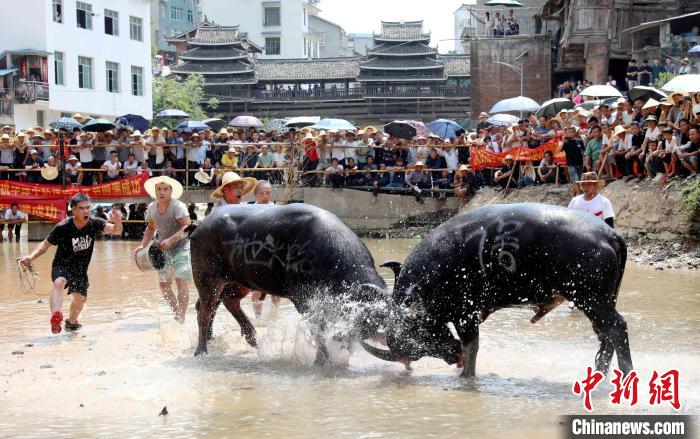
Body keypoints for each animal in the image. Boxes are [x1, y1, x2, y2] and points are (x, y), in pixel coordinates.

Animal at [189, 205, 388, 362]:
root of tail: (200, 226)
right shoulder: (304, 301)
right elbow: (318, 328)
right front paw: (322, 359)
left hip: (239, 282)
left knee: (229, 302)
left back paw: (254, 340)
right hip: (208, 280)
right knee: (205, 310)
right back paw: (201, 350)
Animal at [364, 203, 632, 378]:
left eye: (418, 340)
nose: (452, 358)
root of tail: (608, 233)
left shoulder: (465, 314)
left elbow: (472, 347)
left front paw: (466, 377)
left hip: (591, 299)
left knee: (616, 327)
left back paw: (626, 372)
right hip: (604, 300)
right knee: (604, 335)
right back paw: (600, 373)